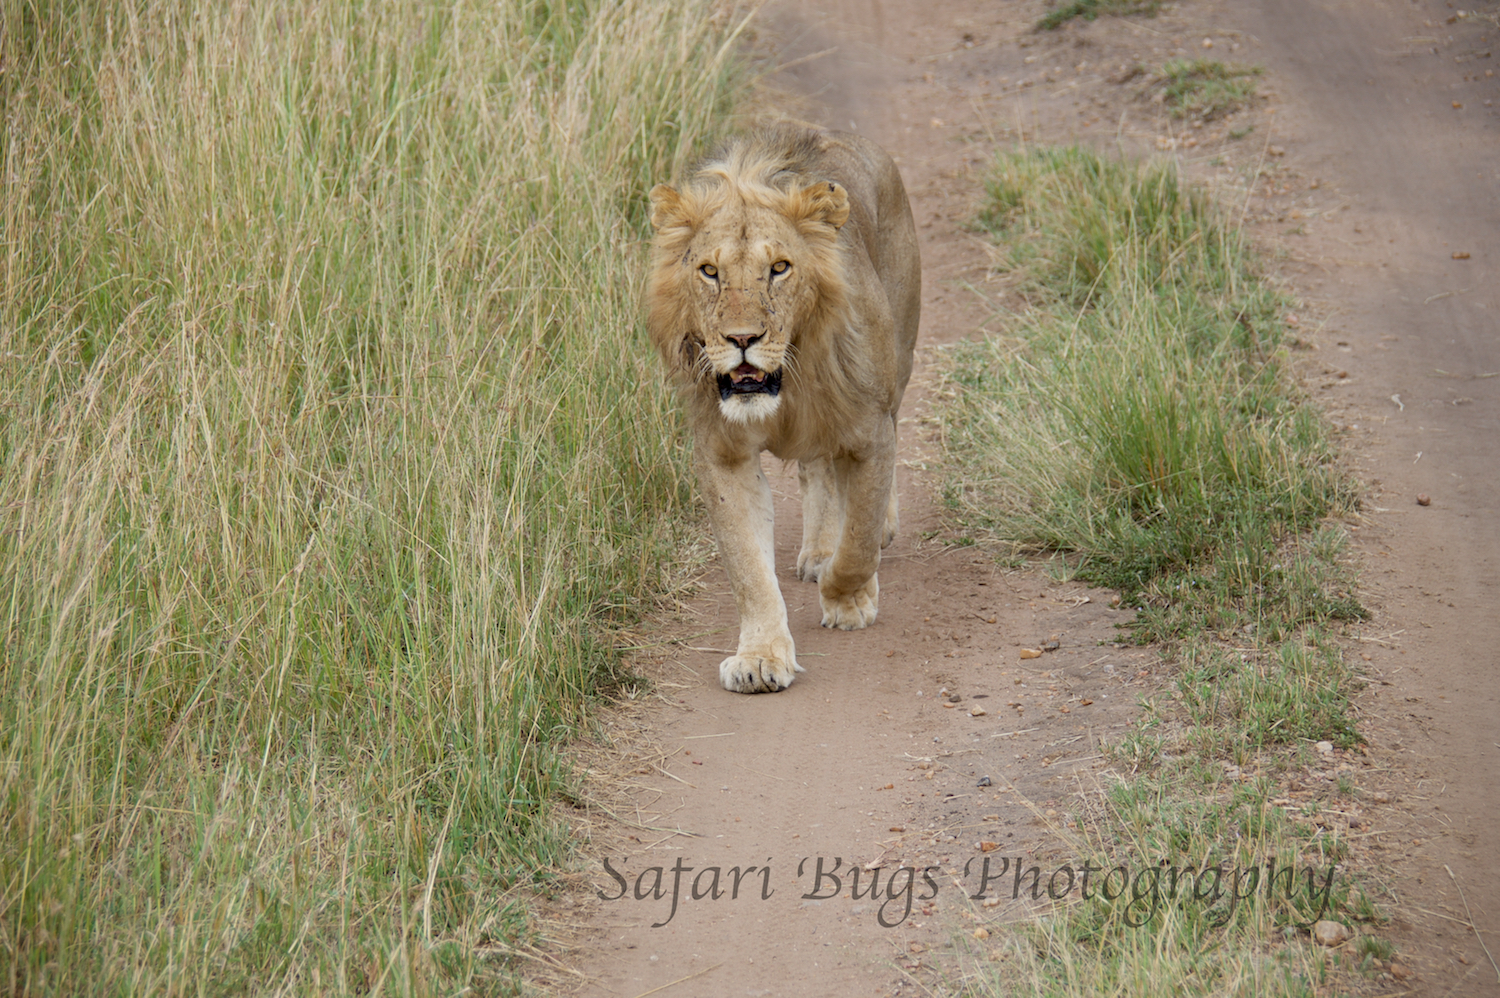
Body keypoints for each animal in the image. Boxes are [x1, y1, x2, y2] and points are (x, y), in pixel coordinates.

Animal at [648, 124, 918, 693]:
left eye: (779, 268)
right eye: (709, 271)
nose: (742, 339)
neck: (787, 383)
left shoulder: (868, 432)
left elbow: (858, 541)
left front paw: (848, 600)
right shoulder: (722, 455)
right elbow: (748, 567)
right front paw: (760, 657)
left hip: (900, 362)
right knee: (817, 470)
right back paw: (817, 548)